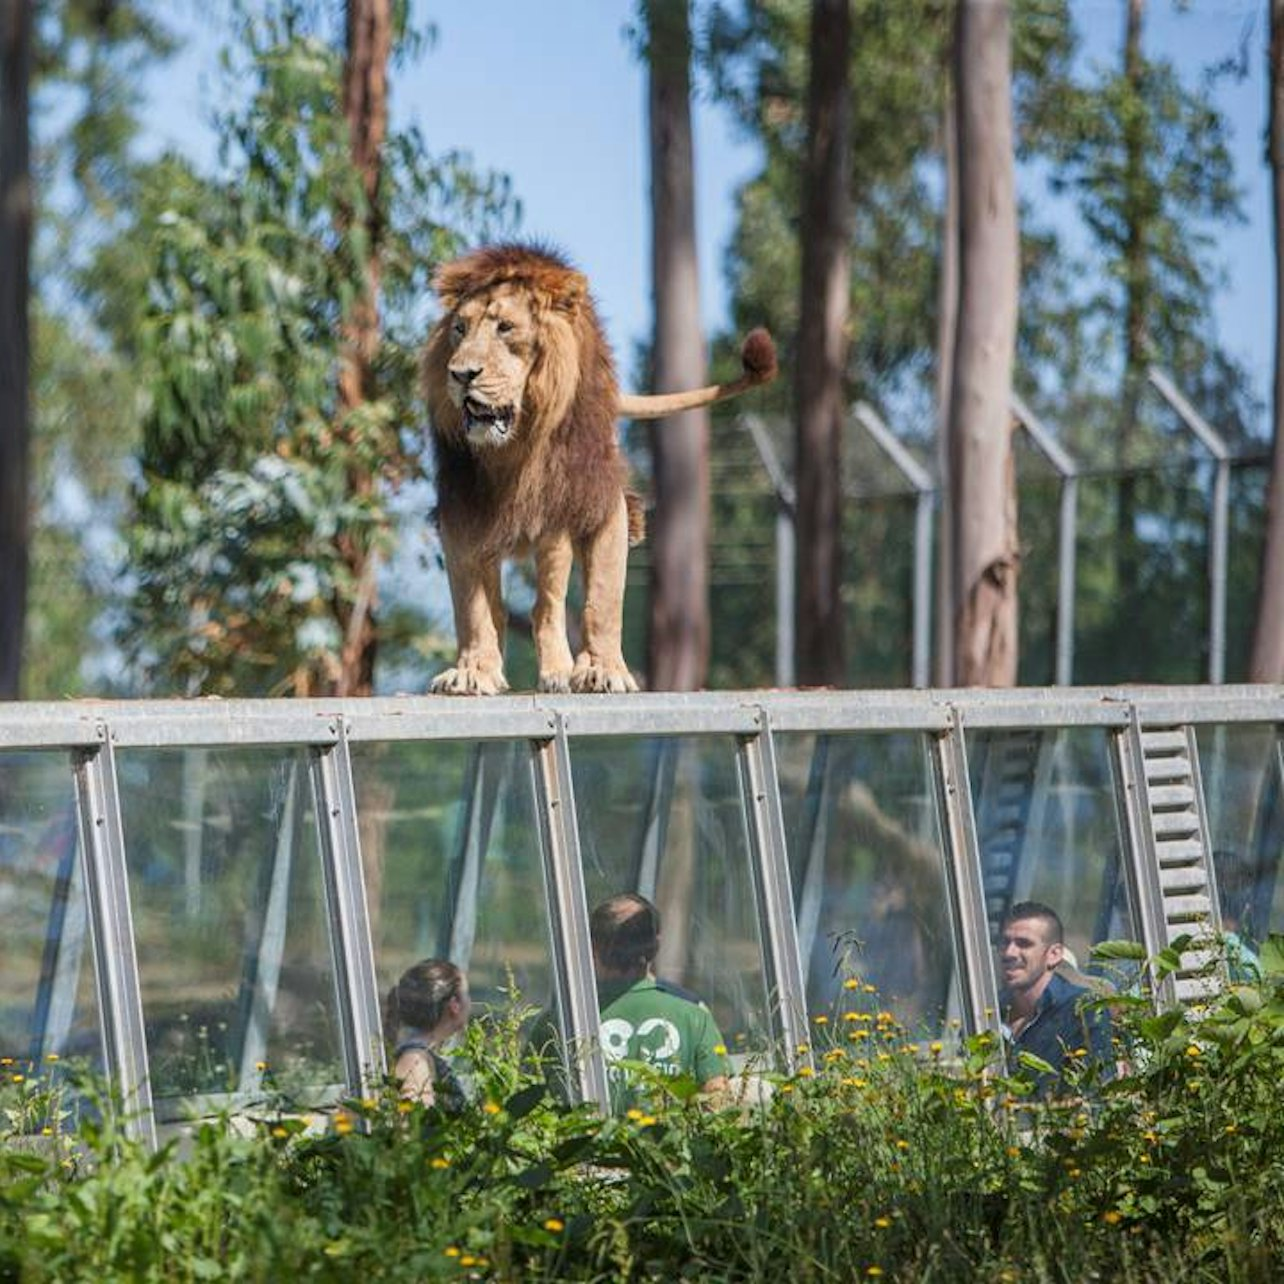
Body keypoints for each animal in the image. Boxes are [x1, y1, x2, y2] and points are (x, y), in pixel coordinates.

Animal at [426, 243, 775, 698]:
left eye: (505, 328)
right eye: (459, 329)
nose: (461, 374)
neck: (518, 447)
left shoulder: (598, 500)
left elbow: (603, 599)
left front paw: (602, 670)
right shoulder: (462, 510)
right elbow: (472, 608)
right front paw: (473, 672)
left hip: (553, 534)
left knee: (546, 605)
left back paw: (558, 672)